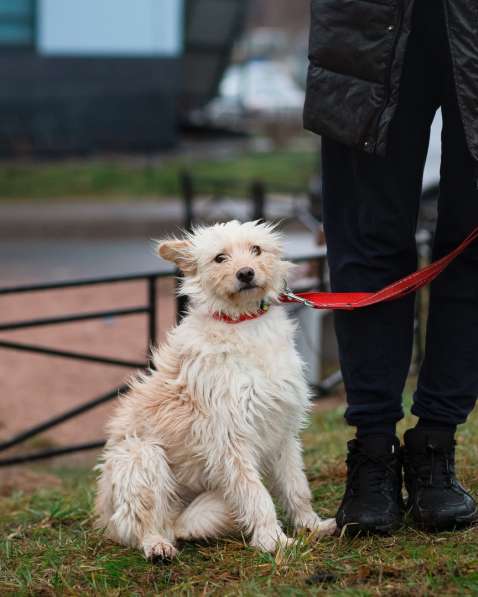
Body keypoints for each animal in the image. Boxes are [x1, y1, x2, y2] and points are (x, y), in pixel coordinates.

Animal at [94, 220, 336, 560]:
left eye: (256, 249)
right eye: (220, 258)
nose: (246, 273)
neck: (244, 323)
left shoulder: (281, 429)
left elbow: (296, 486)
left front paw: (310, 525)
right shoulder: (229, 438)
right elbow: (255, 493)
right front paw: (274, 541)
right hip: (140, 456)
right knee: (142, 523)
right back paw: (157, 545)